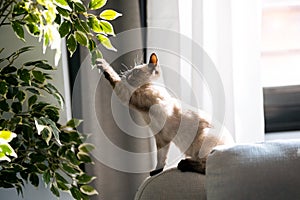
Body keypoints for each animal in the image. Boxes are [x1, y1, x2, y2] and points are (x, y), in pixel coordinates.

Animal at [97, 53, 233, 177]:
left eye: (135, 71)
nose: (126, 74)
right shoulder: (161, 138)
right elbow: (160, 159)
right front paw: (156, 172)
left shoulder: (129, 96)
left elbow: (114, 78)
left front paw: (101, 62)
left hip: (202, 141)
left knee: (207, 167)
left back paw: (183, 164)